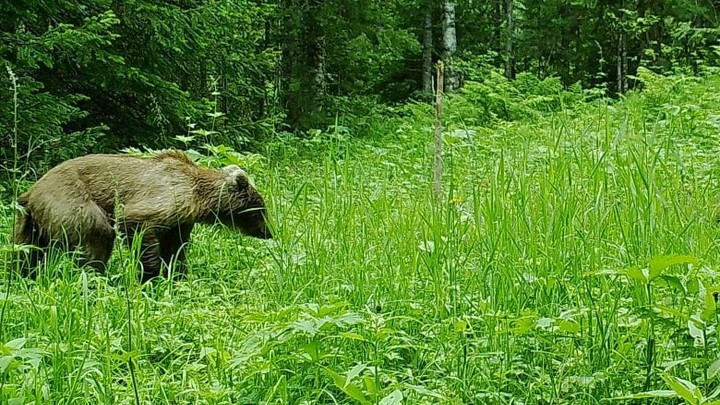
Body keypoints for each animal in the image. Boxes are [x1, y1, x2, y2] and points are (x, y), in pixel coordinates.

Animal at [14, 148, 272, 280]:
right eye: (262, 210)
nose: (269, 232)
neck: (199, 199)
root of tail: (31, 191)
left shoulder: (180, 220)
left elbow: (176, 249)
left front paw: (177, 277)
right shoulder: (165, 198)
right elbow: (138, 225)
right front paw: (150, 275)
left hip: (31, 221)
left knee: (25, 253)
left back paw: (23, 277)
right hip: (71, 203)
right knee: (97, 236)